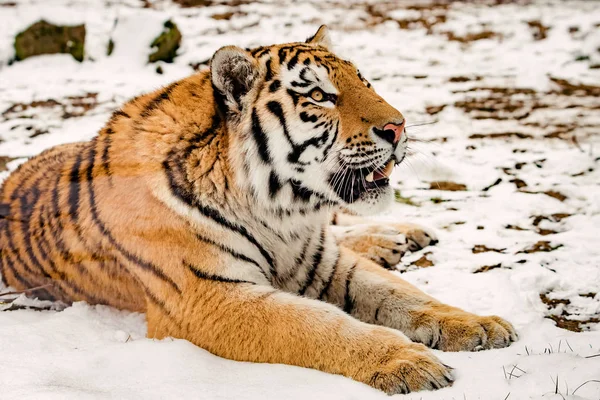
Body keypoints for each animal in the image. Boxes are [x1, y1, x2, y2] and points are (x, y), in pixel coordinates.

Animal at [0, 26, 516, 396]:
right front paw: (407, 362)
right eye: (319, 96)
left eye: (364, 81)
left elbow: (402, 294)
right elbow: (319, 326)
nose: (399, 127)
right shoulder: (209, 297)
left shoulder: (324, 262)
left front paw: (478, 324)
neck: (281, 212)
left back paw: (401, 235)